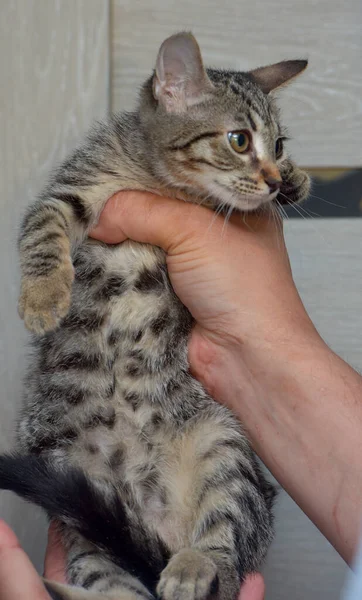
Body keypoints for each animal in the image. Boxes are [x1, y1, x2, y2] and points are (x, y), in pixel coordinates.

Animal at [0, 34, 312, 600]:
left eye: (278, 145)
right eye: (239, 140)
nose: (274, 177)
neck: (163, 184)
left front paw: (296, 180)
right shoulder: (72, 188)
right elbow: (42, 229)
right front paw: (41, 296)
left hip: (223, 441)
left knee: (227, 550)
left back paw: (194, 565)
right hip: (74, 489)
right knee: (109, 577)